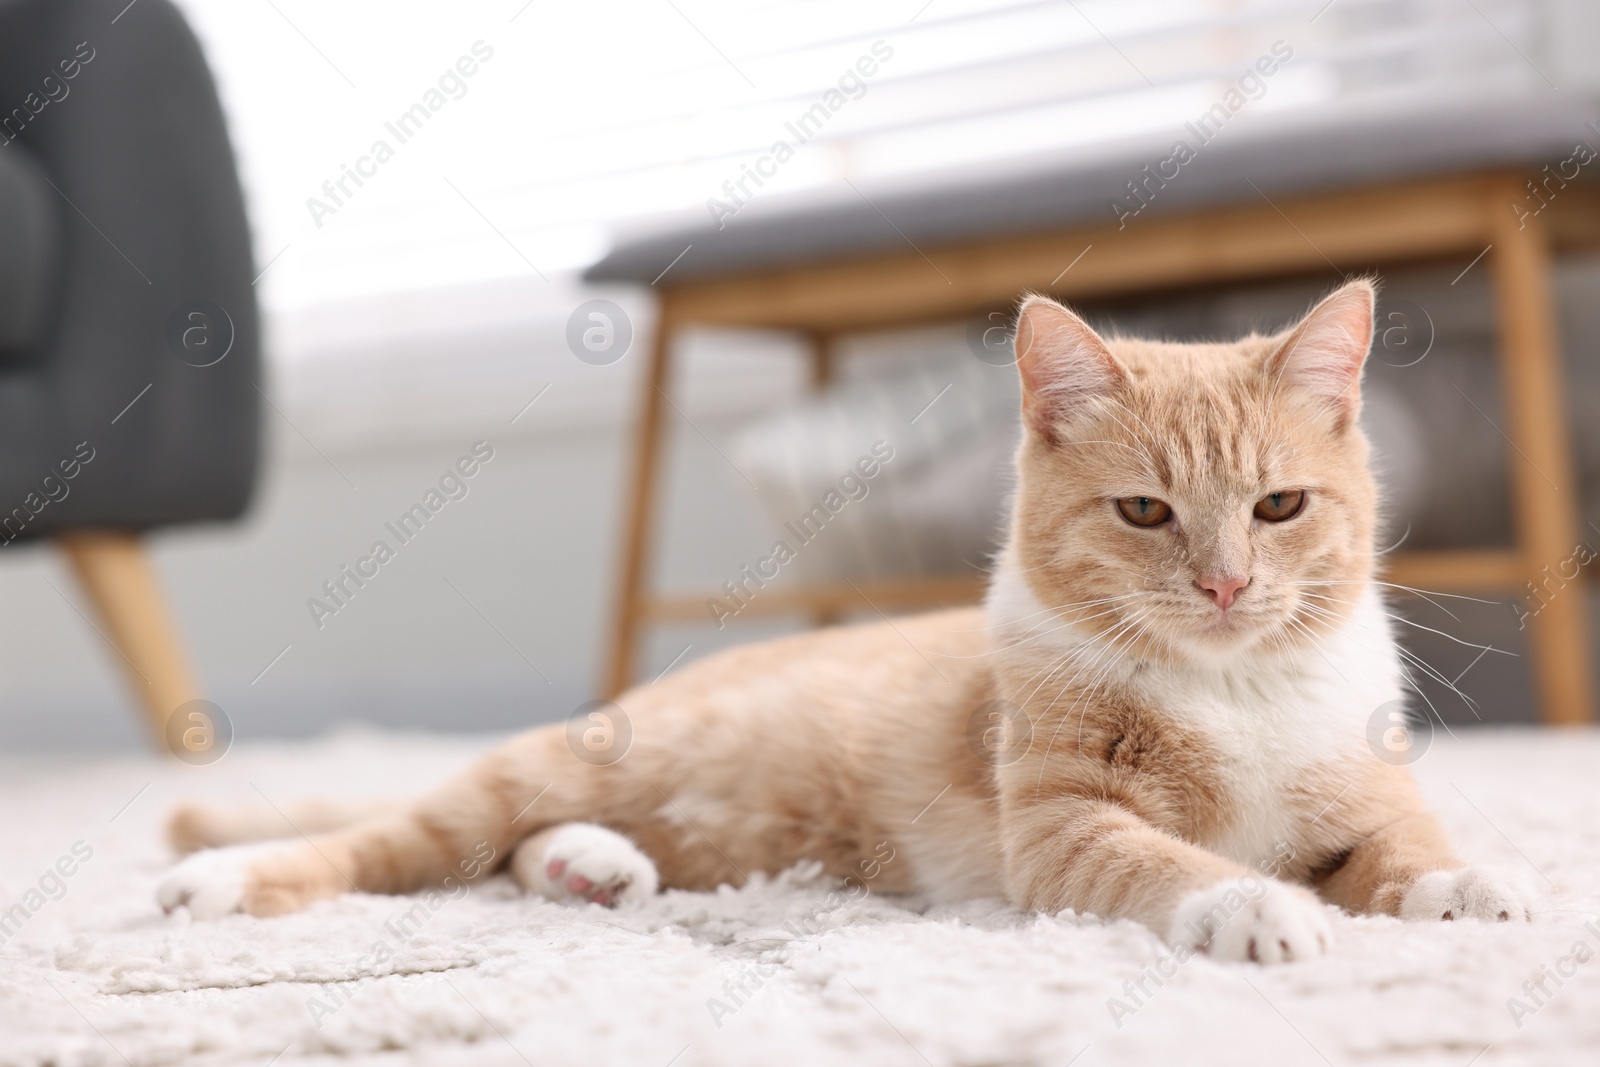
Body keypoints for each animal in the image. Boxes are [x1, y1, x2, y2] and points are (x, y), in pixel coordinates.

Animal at [162, 279, 1536, 966]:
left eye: (1279, 505)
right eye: (1145, 510)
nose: (1225, 586)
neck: (1230, 690)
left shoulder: (1367, 797)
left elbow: (1406, 852)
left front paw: (1470, 888)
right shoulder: (1061, 831)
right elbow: (1168, 862)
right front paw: (1254, 906)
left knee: (514, 847)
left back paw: (593, 867)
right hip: (555, 767)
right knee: (401, 836)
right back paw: (222, 876)